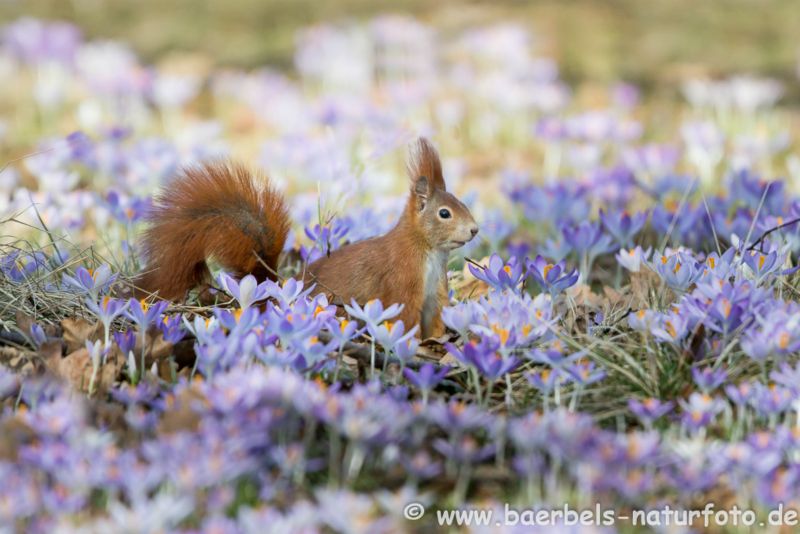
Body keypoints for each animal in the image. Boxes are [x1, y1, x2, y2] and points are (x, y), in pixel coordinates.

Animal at [137, 137, 479, 338]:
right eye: (445, 213)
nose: (475, 229)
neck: (427, 250)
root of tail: (273, 291)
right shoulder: (402, 283)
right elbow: (406, 320)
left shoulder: (436, 293)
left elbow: (435, 319)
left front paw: (437, 341)